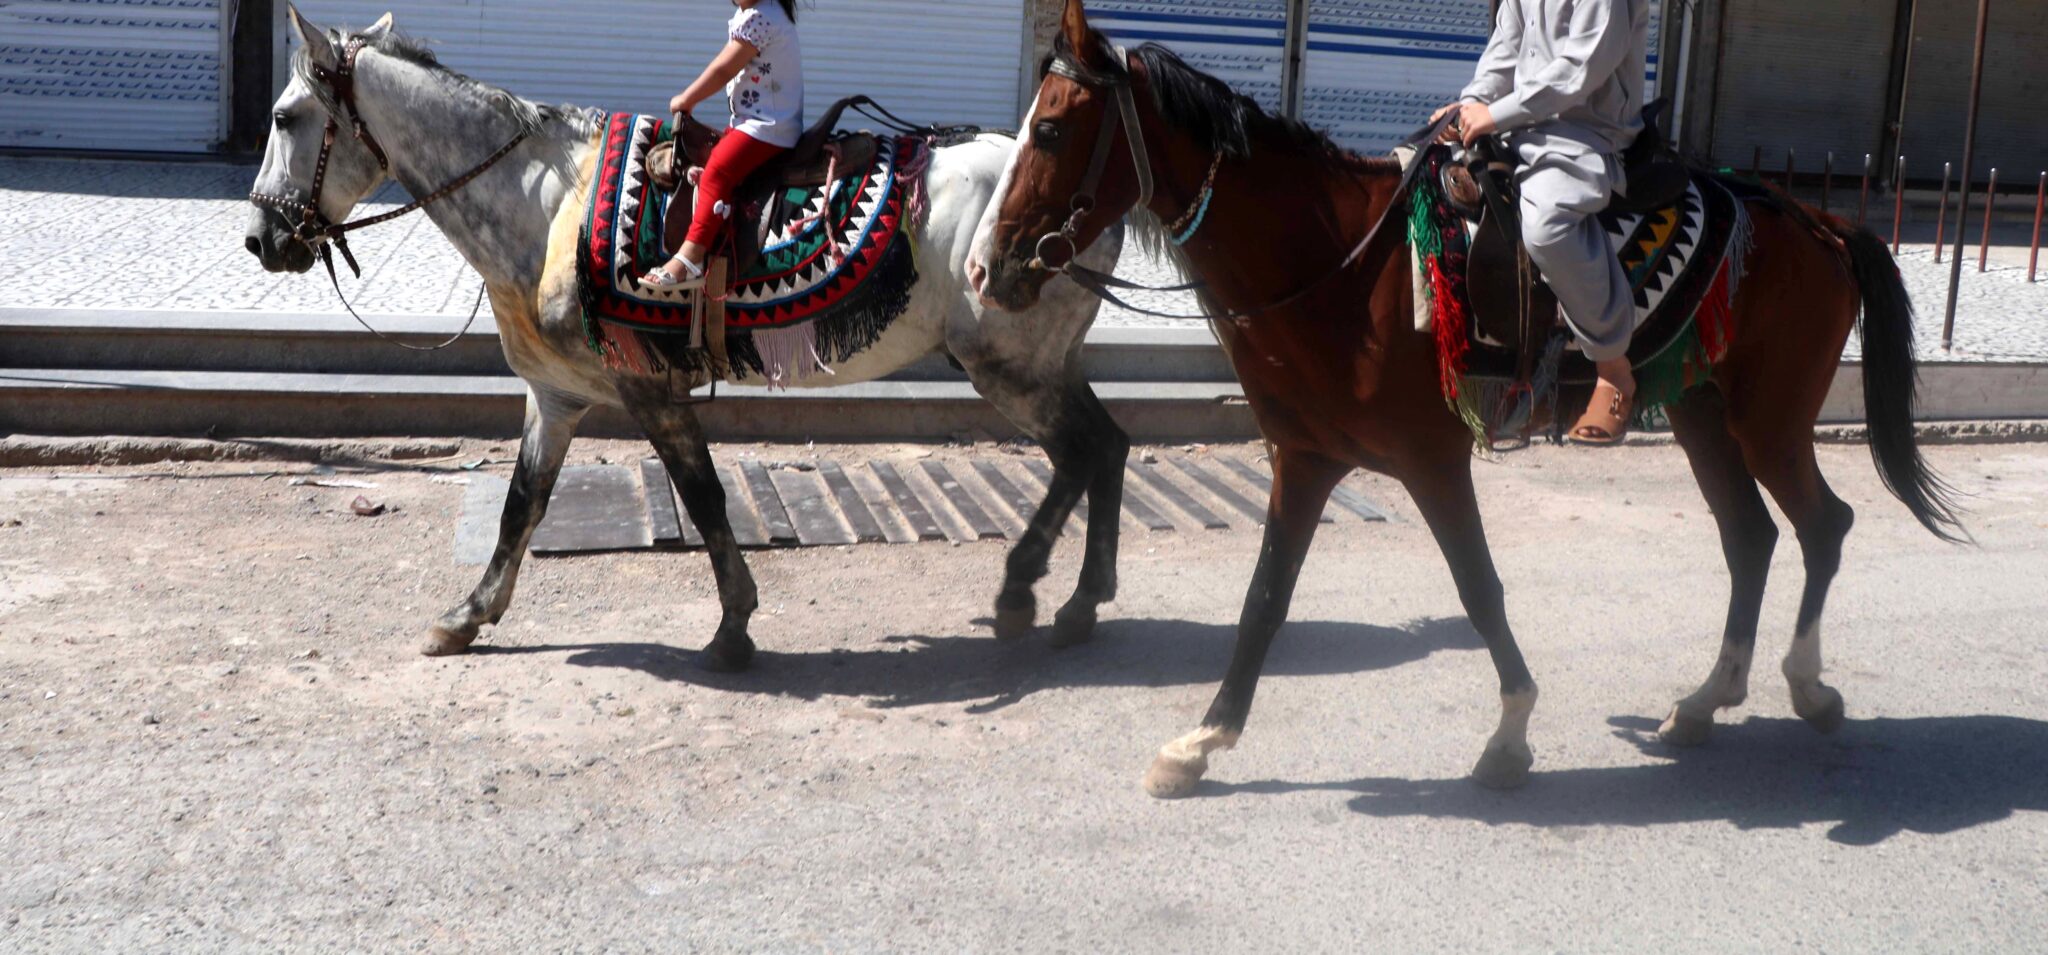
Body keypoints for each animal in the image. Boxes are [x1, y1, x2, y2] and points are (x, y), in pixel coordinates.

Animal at [251, 7, 1138, 668]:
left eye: (286, 117)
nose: (263, 238)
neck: (544, 202)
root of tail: (1087, 199)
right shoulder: (558, 395)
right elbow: (521, 505)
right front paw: (468, 614)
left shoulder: (648, 387)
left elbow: (705, 495)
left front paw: (734, 627)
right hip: (1043, 360)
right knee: (1105, 446)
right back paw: (1074, 600)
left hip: (1010, 364)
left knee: (1083, 450)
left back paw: (1034, 595)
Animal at [974, 0, 1966, 799]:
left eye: (1052, 131)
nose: (987, 268)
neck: (1339, 266)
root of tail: (1820, 223)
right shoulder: (1306, 460)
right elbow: (1265, 600)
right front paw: (1200, 742)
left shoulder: (1432, 459)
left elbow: (1480, 589)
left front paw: (1511, 735)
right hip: (1702, 415)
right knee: (1750, 537)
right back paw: (1702, 701)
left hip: (1769, 420)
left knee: (1822, 524)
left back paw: (1808, 688)